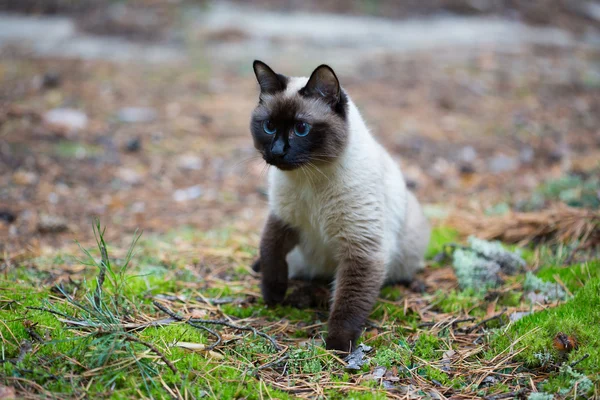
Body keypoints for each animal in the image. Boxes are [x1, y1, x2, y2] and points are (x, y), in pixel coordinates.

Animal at [250, 61, 432, 352]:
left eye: (301, 128)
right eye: (268, 126)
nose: (277, 152)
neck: (310, 179)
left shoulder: (361, 249)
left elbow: (349, 302)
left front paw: (336, 347)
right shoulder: (283, 219)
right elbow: (270, 254)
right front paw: (272, 297)